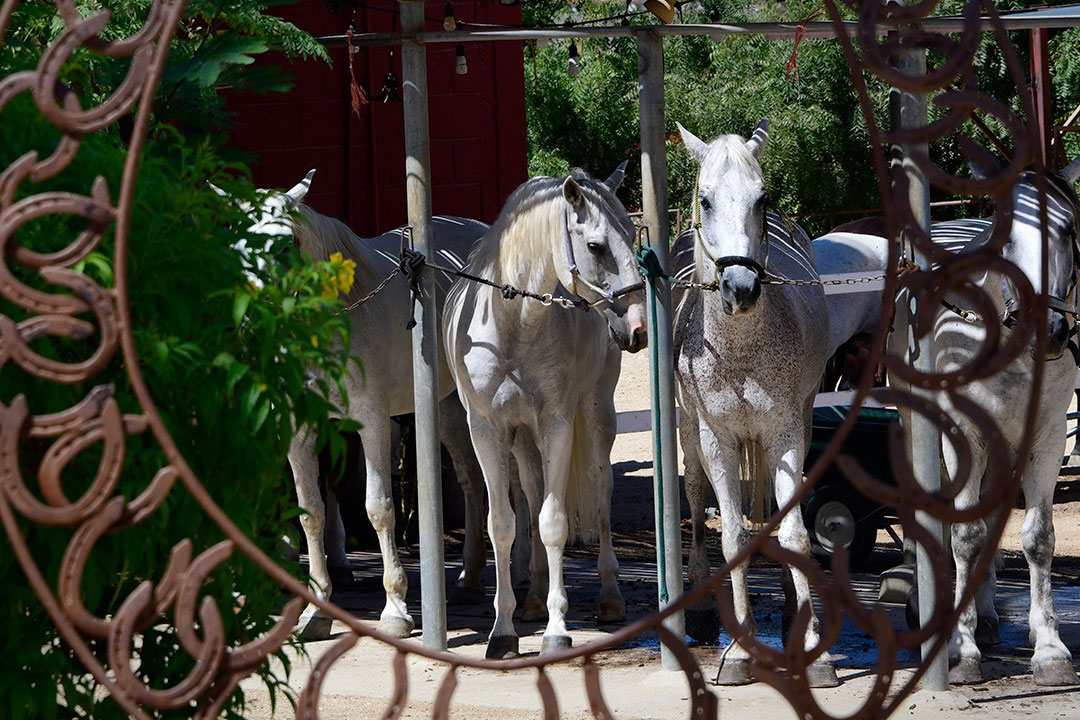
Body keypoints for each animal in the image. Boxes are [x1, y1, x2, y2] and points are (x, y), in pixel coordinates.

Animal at [442, 165, 643, 660]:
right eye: (597, 246)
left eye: (633, 235)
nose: (636, 327)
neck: (512, 329)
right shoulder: (487, 430)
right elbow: (505, 524)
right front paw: (503, 632)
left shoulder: (557, 424)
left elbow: (553, 523)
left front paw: (557, 629)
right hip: (521, 439)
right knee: (531, 495)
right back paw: (531, 599)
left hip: (596, 413)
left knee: (600, 486)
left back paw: (609, 598)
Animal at [885, 158, 1080, 686]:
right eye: (1006, 235)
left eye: (1069, 229)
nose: (1049, 328)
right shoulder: (964, 434)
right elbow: (965, 535)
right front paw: (962, 648)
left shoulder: (1048, 434)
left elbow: (1037, 537)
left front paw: (1049, 648)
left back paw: (991, 617)